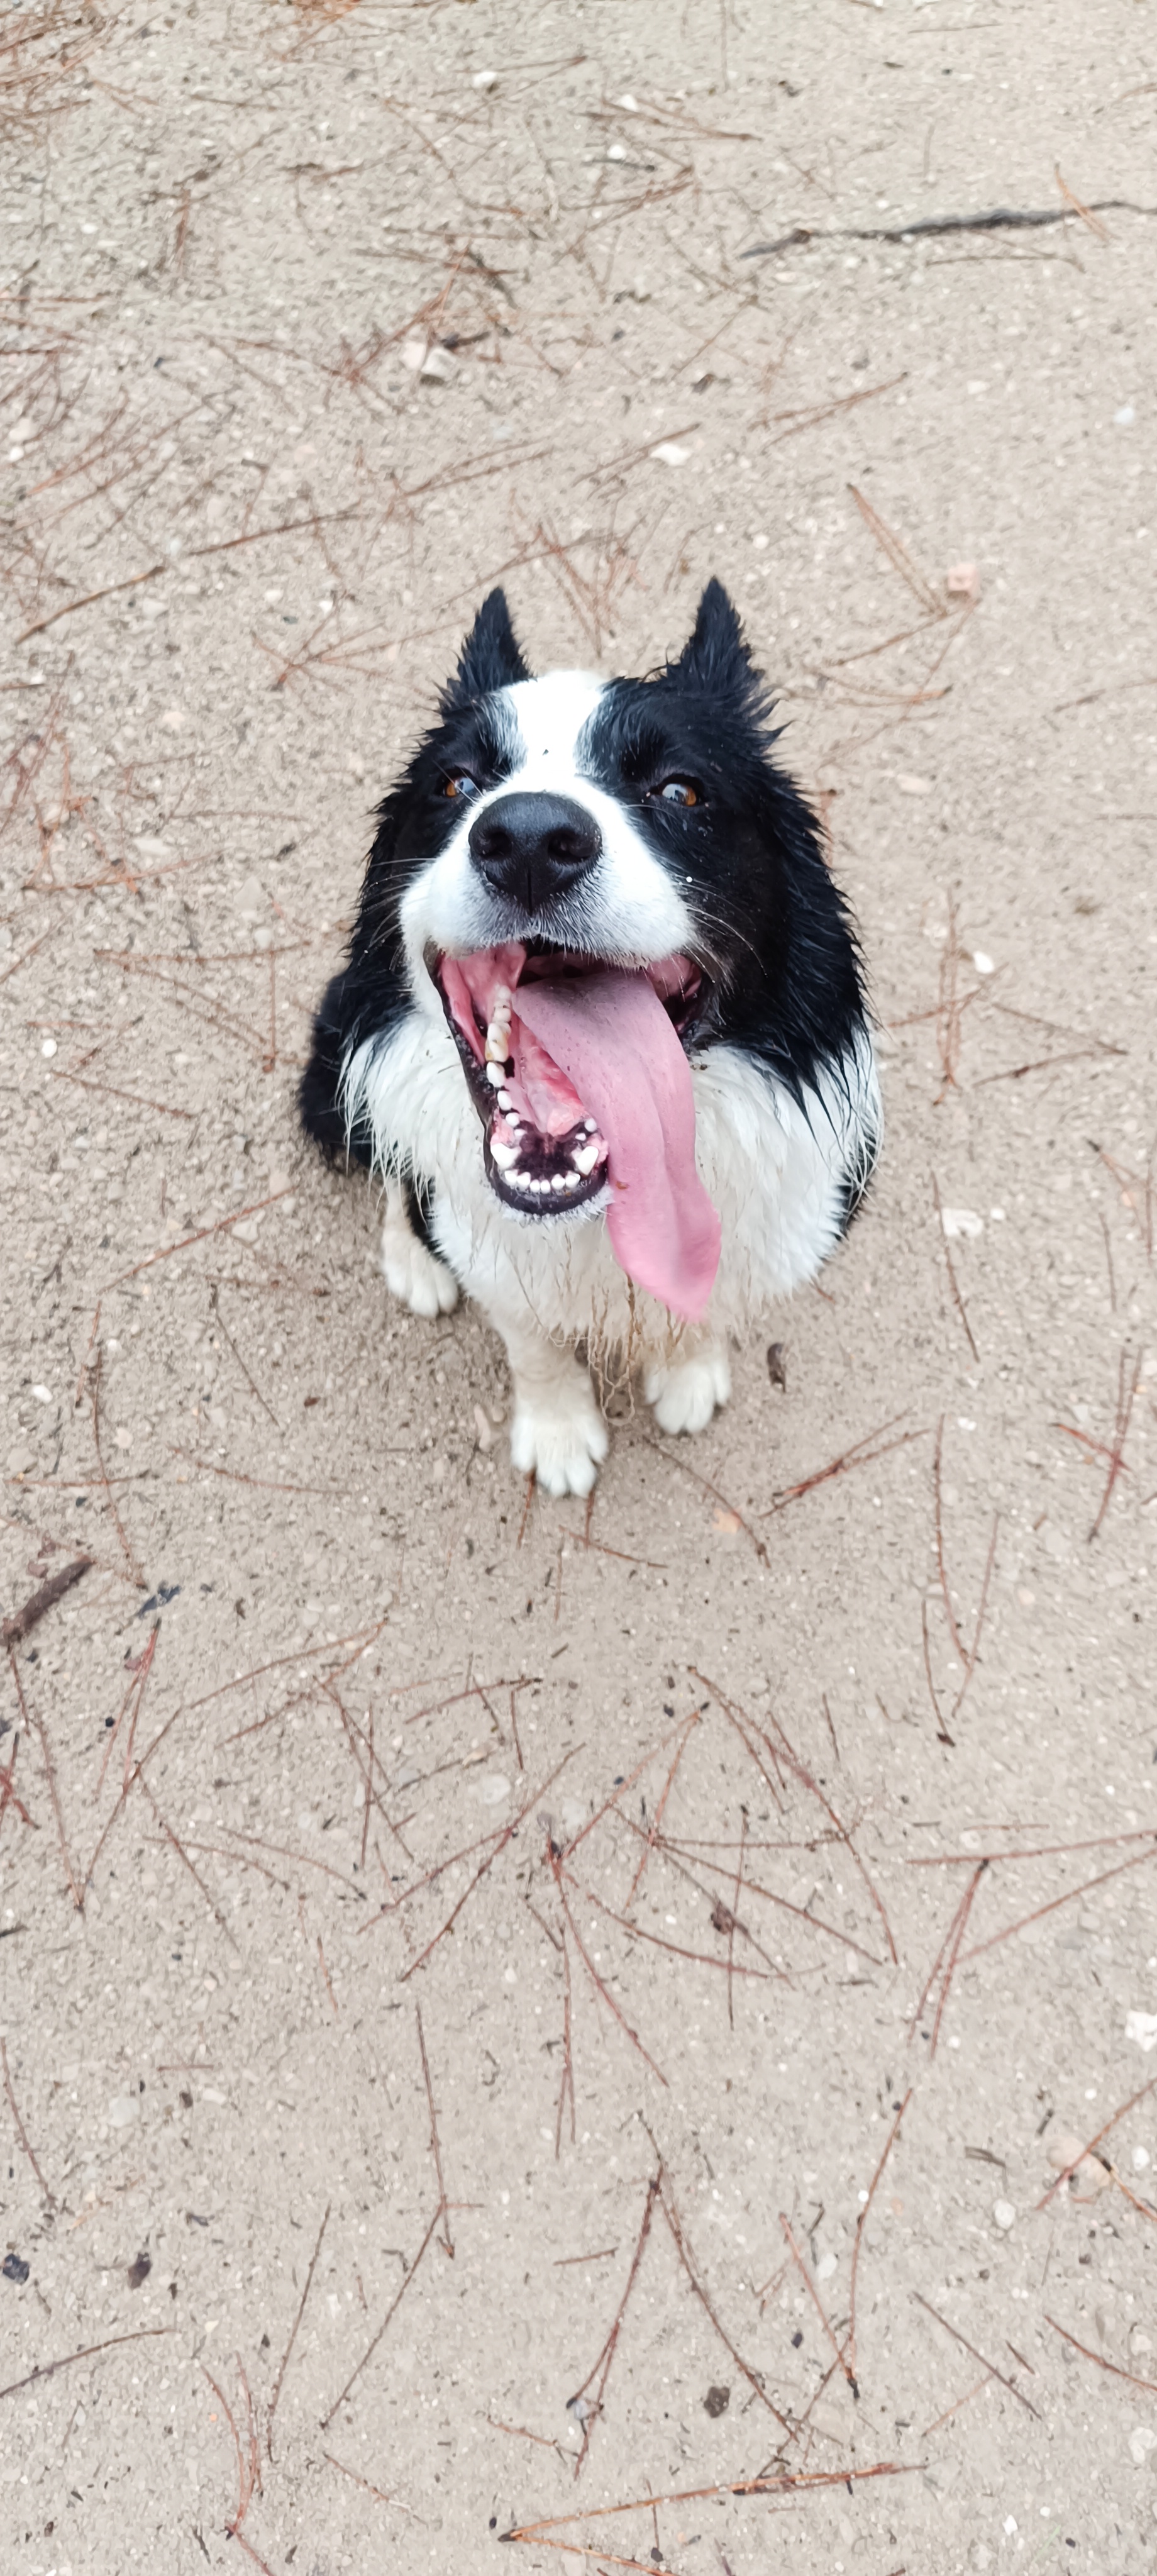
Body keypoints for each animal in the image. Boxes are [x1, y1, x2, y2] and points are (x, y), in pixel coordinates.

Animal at [300, 581, 879, 1496]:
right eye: (456, 781)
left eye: (681, 792)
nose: (531, 840)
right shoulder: (503, 1263)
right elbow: (531, 1341)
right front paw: (559, 1433)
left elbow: (708, 1304)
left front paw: (687, 1375)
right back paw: (414, 1259)